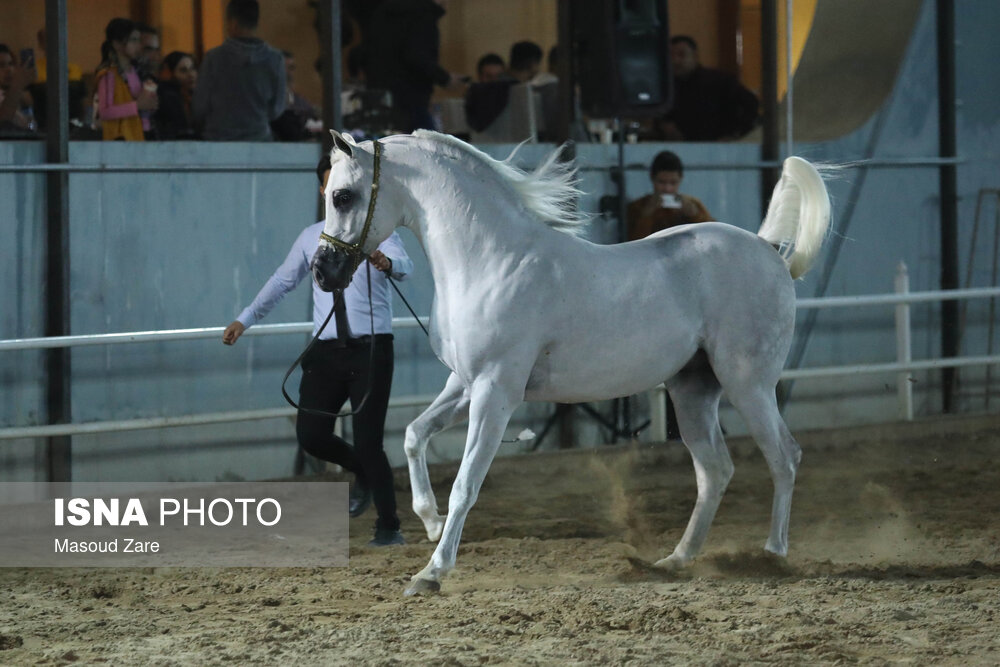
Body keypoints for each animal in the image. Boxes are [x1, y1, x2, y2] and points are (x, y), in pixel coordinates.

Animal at [310, 129, 828, 596]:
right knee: (715, 471)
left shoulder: (495, 390)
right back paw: (676, 560)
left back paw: (772, 556)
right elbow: (415, 436)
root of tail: (767, 250)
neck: (491, 261)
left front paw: (431, 573)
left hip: (748, 384)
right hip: (692, 390)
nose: (322, 271)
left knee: (784, 456)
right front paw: (431, 522)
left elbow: (466, 482)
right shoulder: (464, 383)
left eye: (342, 195)